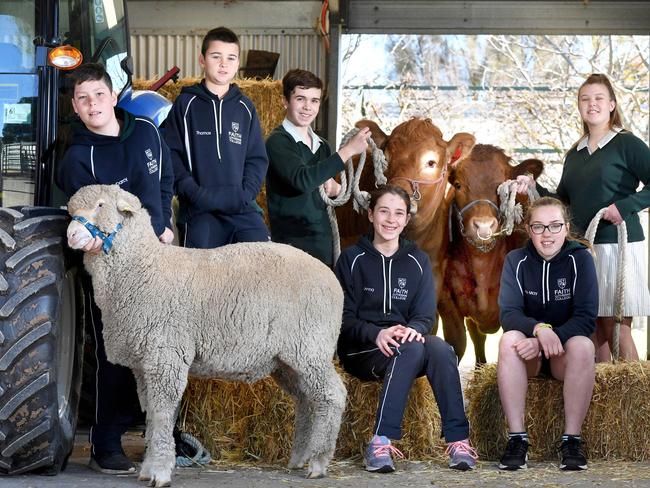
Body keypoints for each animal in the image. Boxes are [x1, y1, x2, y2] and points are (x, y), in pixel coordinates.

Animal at [66, 185, 346, 486]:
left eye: (100, 205)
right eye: (71, 210)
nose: (70, 235)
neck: (144, 268)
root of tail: (331, 276)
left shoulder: (166, 355)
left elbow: (162, 412)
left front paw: (160, 471)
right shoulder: (143, 363)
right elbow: (151, 412)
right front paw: (149, 467)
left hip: (310, 346)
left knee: (333, 395)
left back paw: (318, 461)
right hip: (287, 360)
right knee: (307, 399)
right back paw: (300, 457)